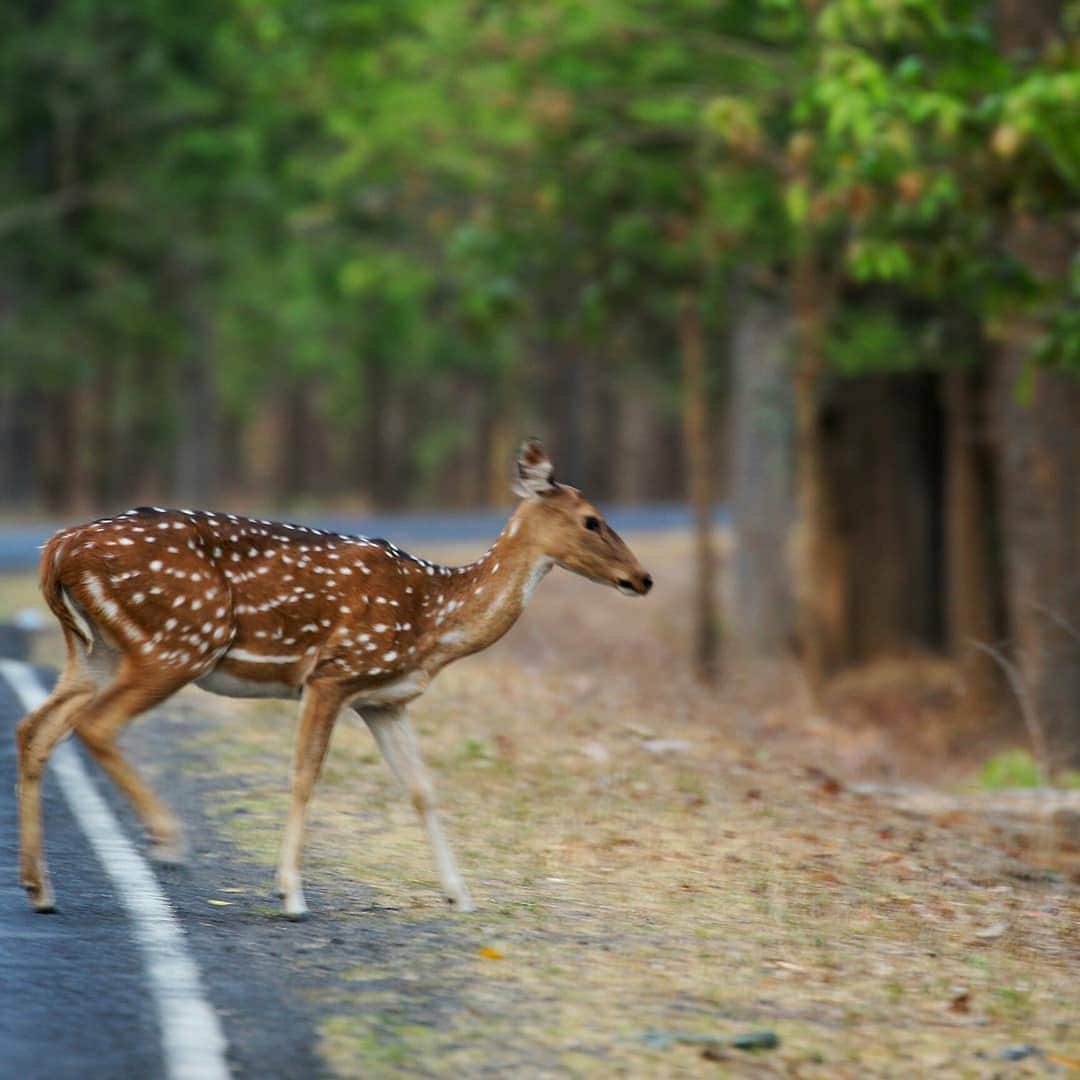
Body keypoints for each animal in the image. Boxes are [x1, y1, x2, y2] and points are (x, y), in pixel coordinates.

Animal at [16, 440, 652, 919]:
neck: (433, 621)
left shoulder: (384, 700)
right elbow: (304, 776)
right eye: (592, 520)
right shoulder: (333, 673)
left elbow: (422, 788)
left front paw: (460, 895)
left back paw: (40, 888)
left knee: (35, 729)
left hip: (95, 649)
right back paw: (168, 843)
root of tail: (58, 548)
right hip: (178, 641)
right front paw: (291, 893)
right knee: (96, 725)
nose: (642, 578)